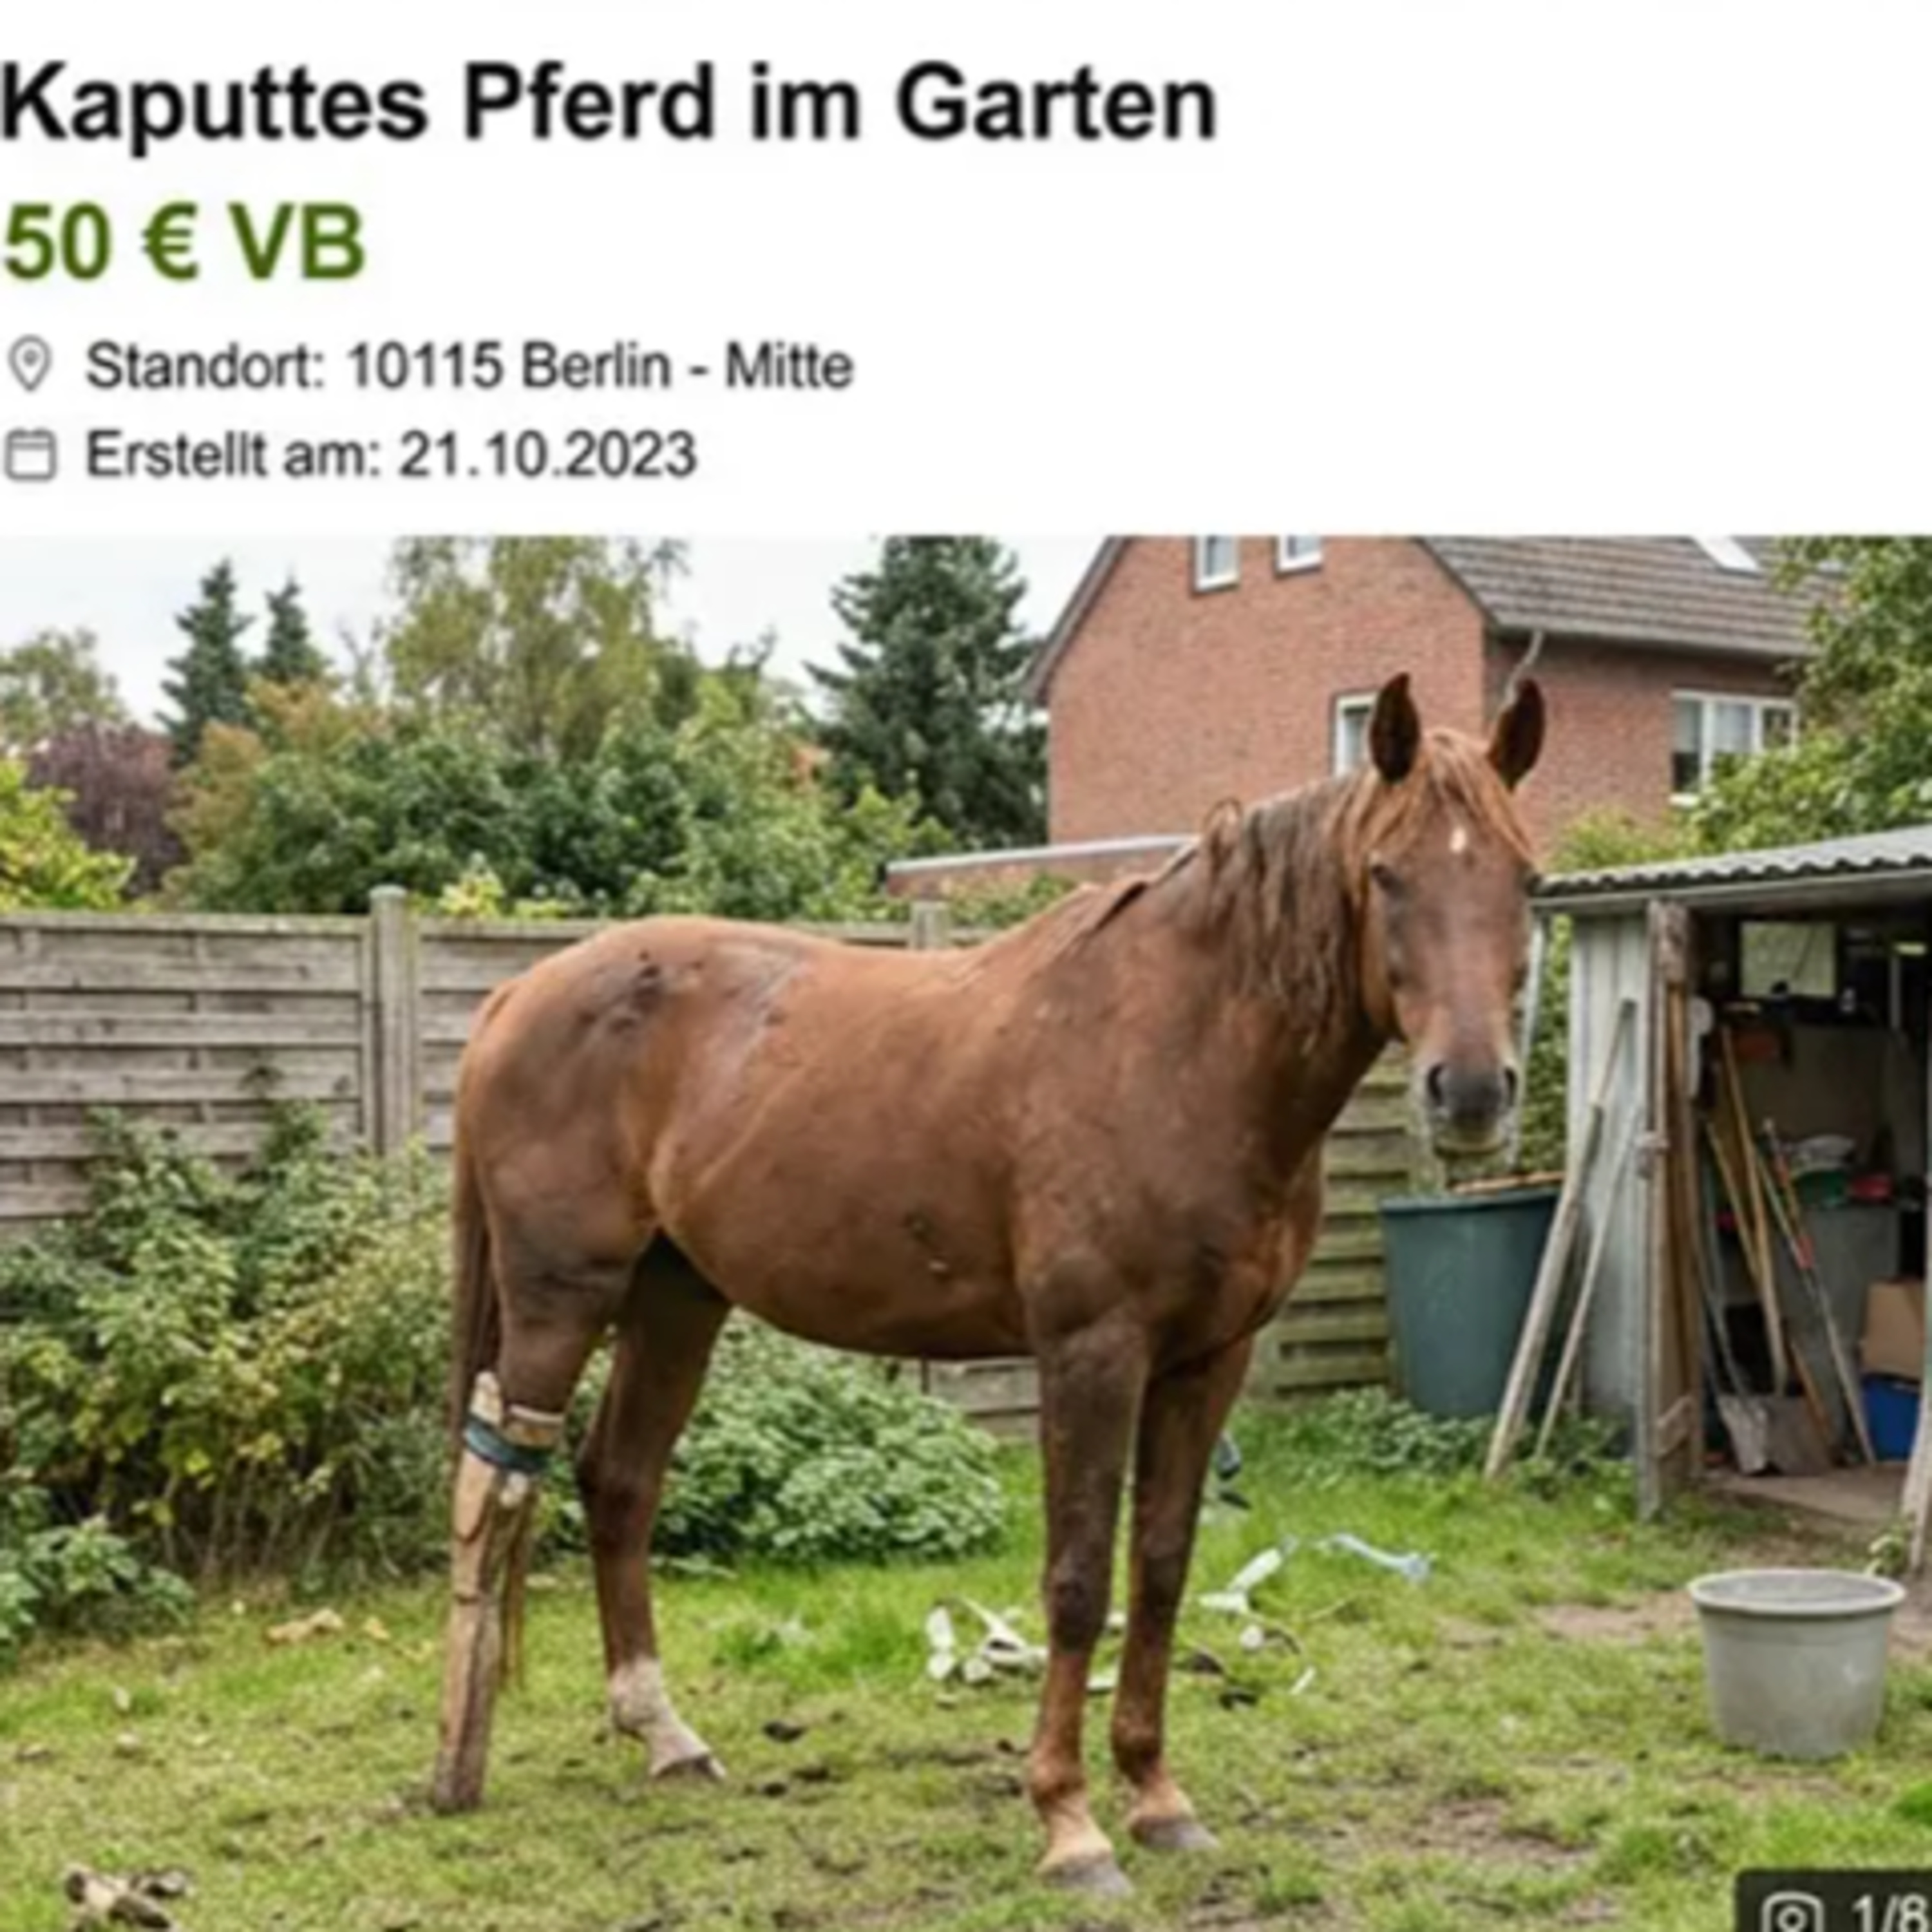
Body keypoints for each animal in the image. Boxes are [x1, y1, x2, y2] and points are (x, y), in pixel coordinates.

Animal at [429, 671, 1546, 1895]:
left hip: (679, 1302)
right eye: (1386, 873)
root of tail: (518, 995)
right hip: (560, 1301)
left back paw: (665, 1736)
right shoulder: (1091, 1352)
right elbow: (1077, 1580)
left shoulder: (1210, 1360)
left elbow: (1161, 1569)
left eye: (1526, 878)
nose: (1472, 1091)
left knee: (619, 1481)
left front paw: (1157, 1798)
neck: (1181, 1049)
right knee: (495, 1488)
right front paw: (1071, 1825)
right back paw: (456, 1769)